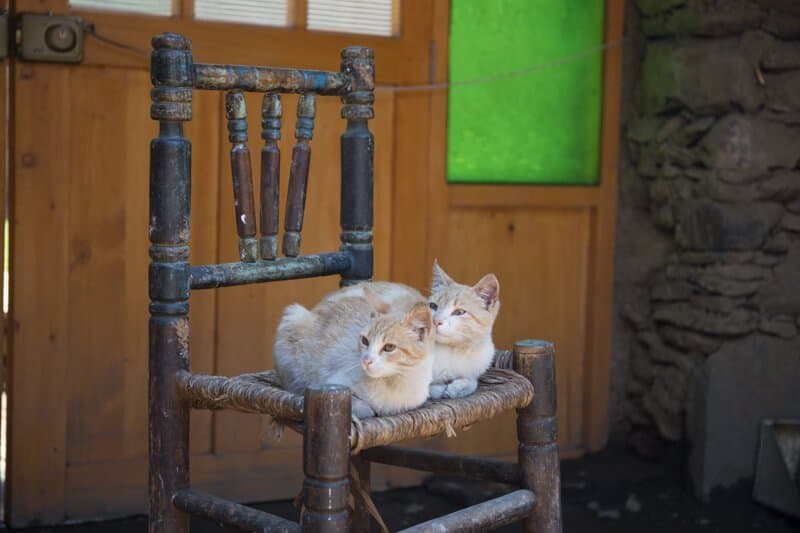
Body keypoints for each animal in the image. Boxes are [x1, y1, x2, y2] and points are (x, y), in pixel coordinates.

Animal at [273, 283, 434, 418]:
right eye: (365, 341)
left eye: (389, 347)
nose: (367, 360)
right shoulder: (331, 385)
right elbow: (363, 408)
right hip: (293, 316)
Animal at [426, 260, 501, 399]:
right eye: (433, 306)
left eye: (459, 312)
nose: (436, 321)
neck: (453, 350)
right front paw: (437, 388)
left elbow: (472, 380)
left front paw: (459, 387)